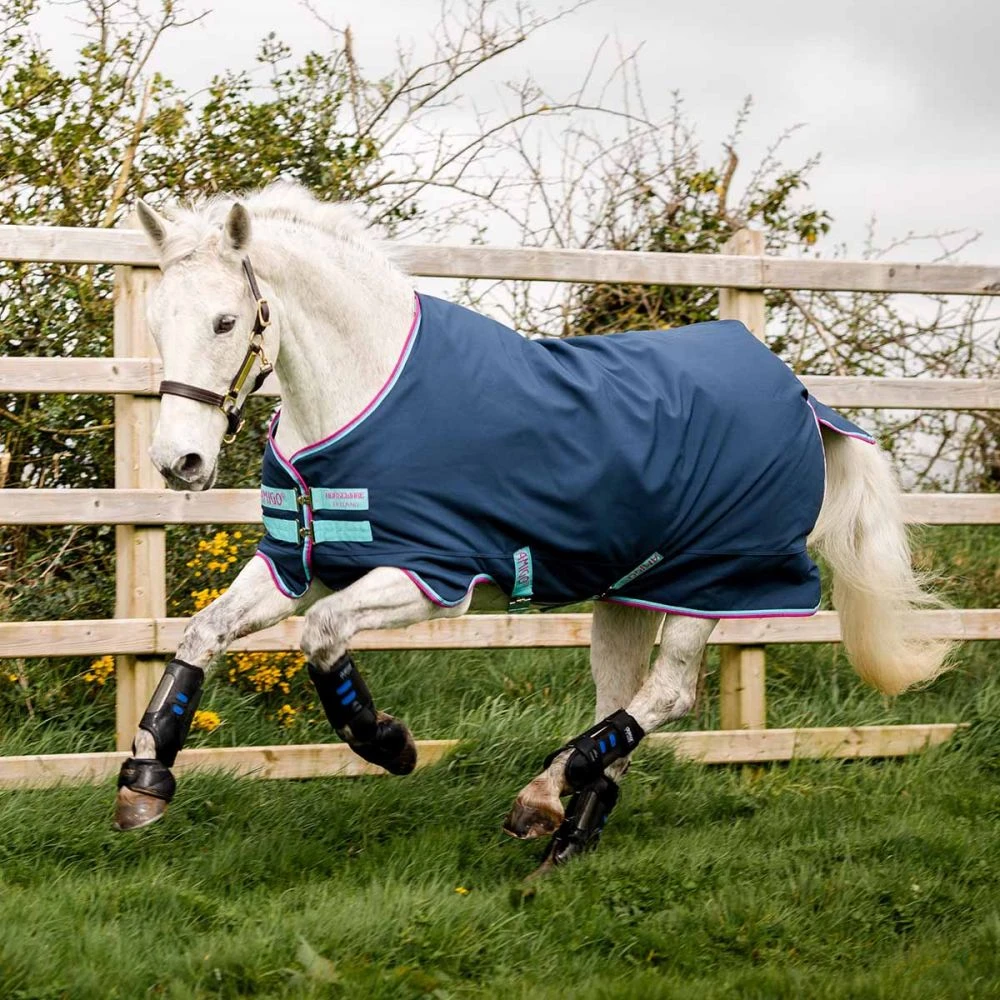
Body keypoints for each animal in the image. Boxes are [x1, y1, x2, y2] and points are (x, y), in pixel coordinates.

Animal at [114, 181, 951, 869]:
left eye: (226, 321)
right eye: (157, 320)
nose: (178, 461)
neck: (364, 396)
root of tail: (805, 399)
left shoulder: (432, 577)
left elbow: (322, 638)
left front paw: (389, 744)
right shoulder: (295, 564)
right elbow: (201, 633)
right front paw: (144, 780)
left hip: (715, 583)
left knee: (668, 694)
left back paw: (541, 795)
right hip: (628, 595)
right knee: (622, 701)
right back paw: (568, 835)